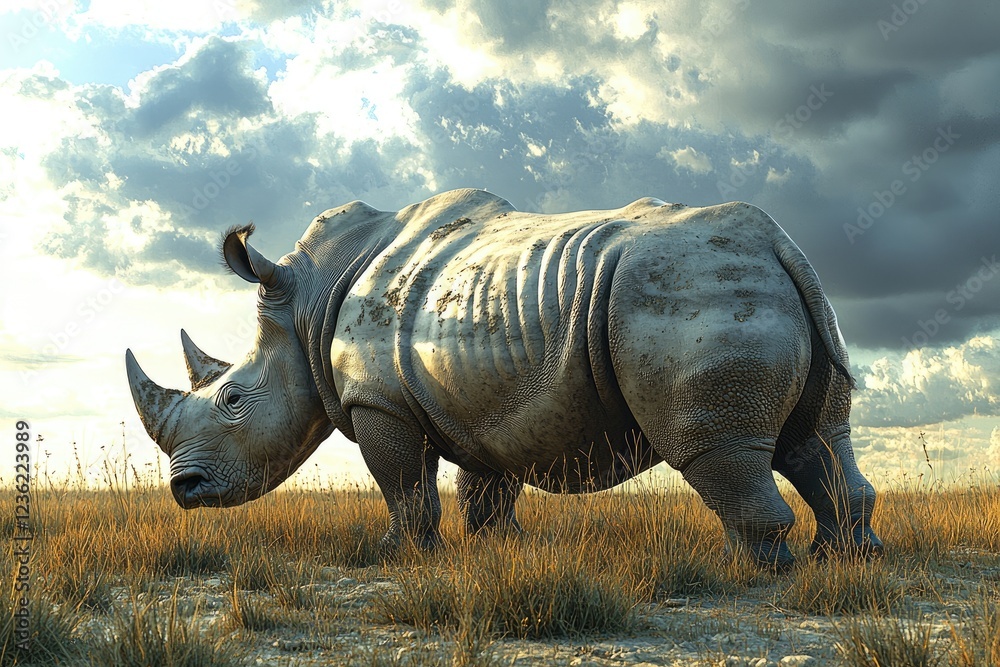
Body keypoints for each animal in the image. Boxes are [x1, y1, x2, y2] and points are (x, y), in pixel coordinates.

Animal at [126, 188, 882, 568]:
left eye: (231, 399)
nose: (183, 491)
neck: (306, 305)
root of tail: (777, 242)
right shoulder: (479, 398)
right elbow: (485, 485)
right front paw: (502, 550)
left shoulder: (379, 403)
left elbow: (404, 485)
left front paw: (396, 556)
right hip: (766, 284)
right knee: (819, 436)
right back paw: (845, 560)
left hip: (687, 290)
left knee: (717, 448)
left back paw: (750, 572)